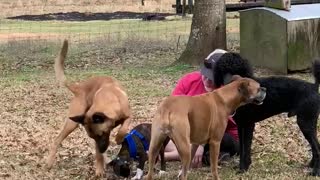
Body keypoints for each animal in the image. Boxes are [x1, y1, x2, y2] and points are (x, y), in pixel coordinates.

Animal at [45, 39, 131, 177]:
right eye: (94, 137)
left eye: (102, 134)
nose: (102, 149)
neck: (109, 97)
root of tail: (79, 87)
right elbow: (98, 154)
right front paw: (99, 169)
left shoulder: (128, 116)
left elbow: (123, 129)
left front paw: (119, 138)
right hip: (72, 123)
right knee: (57, 140)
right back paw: (49, 161)